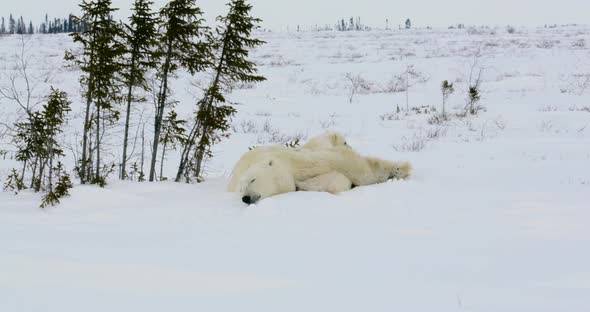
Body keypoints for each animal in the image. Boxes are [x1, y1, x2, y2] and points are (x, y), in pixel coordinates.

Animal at [229, 141, 414, 205]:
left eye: (252, 180)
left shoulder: (297, 161)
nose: (245, 198)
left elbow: (349, 165)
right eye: (241, 189)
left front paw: (400, 169)